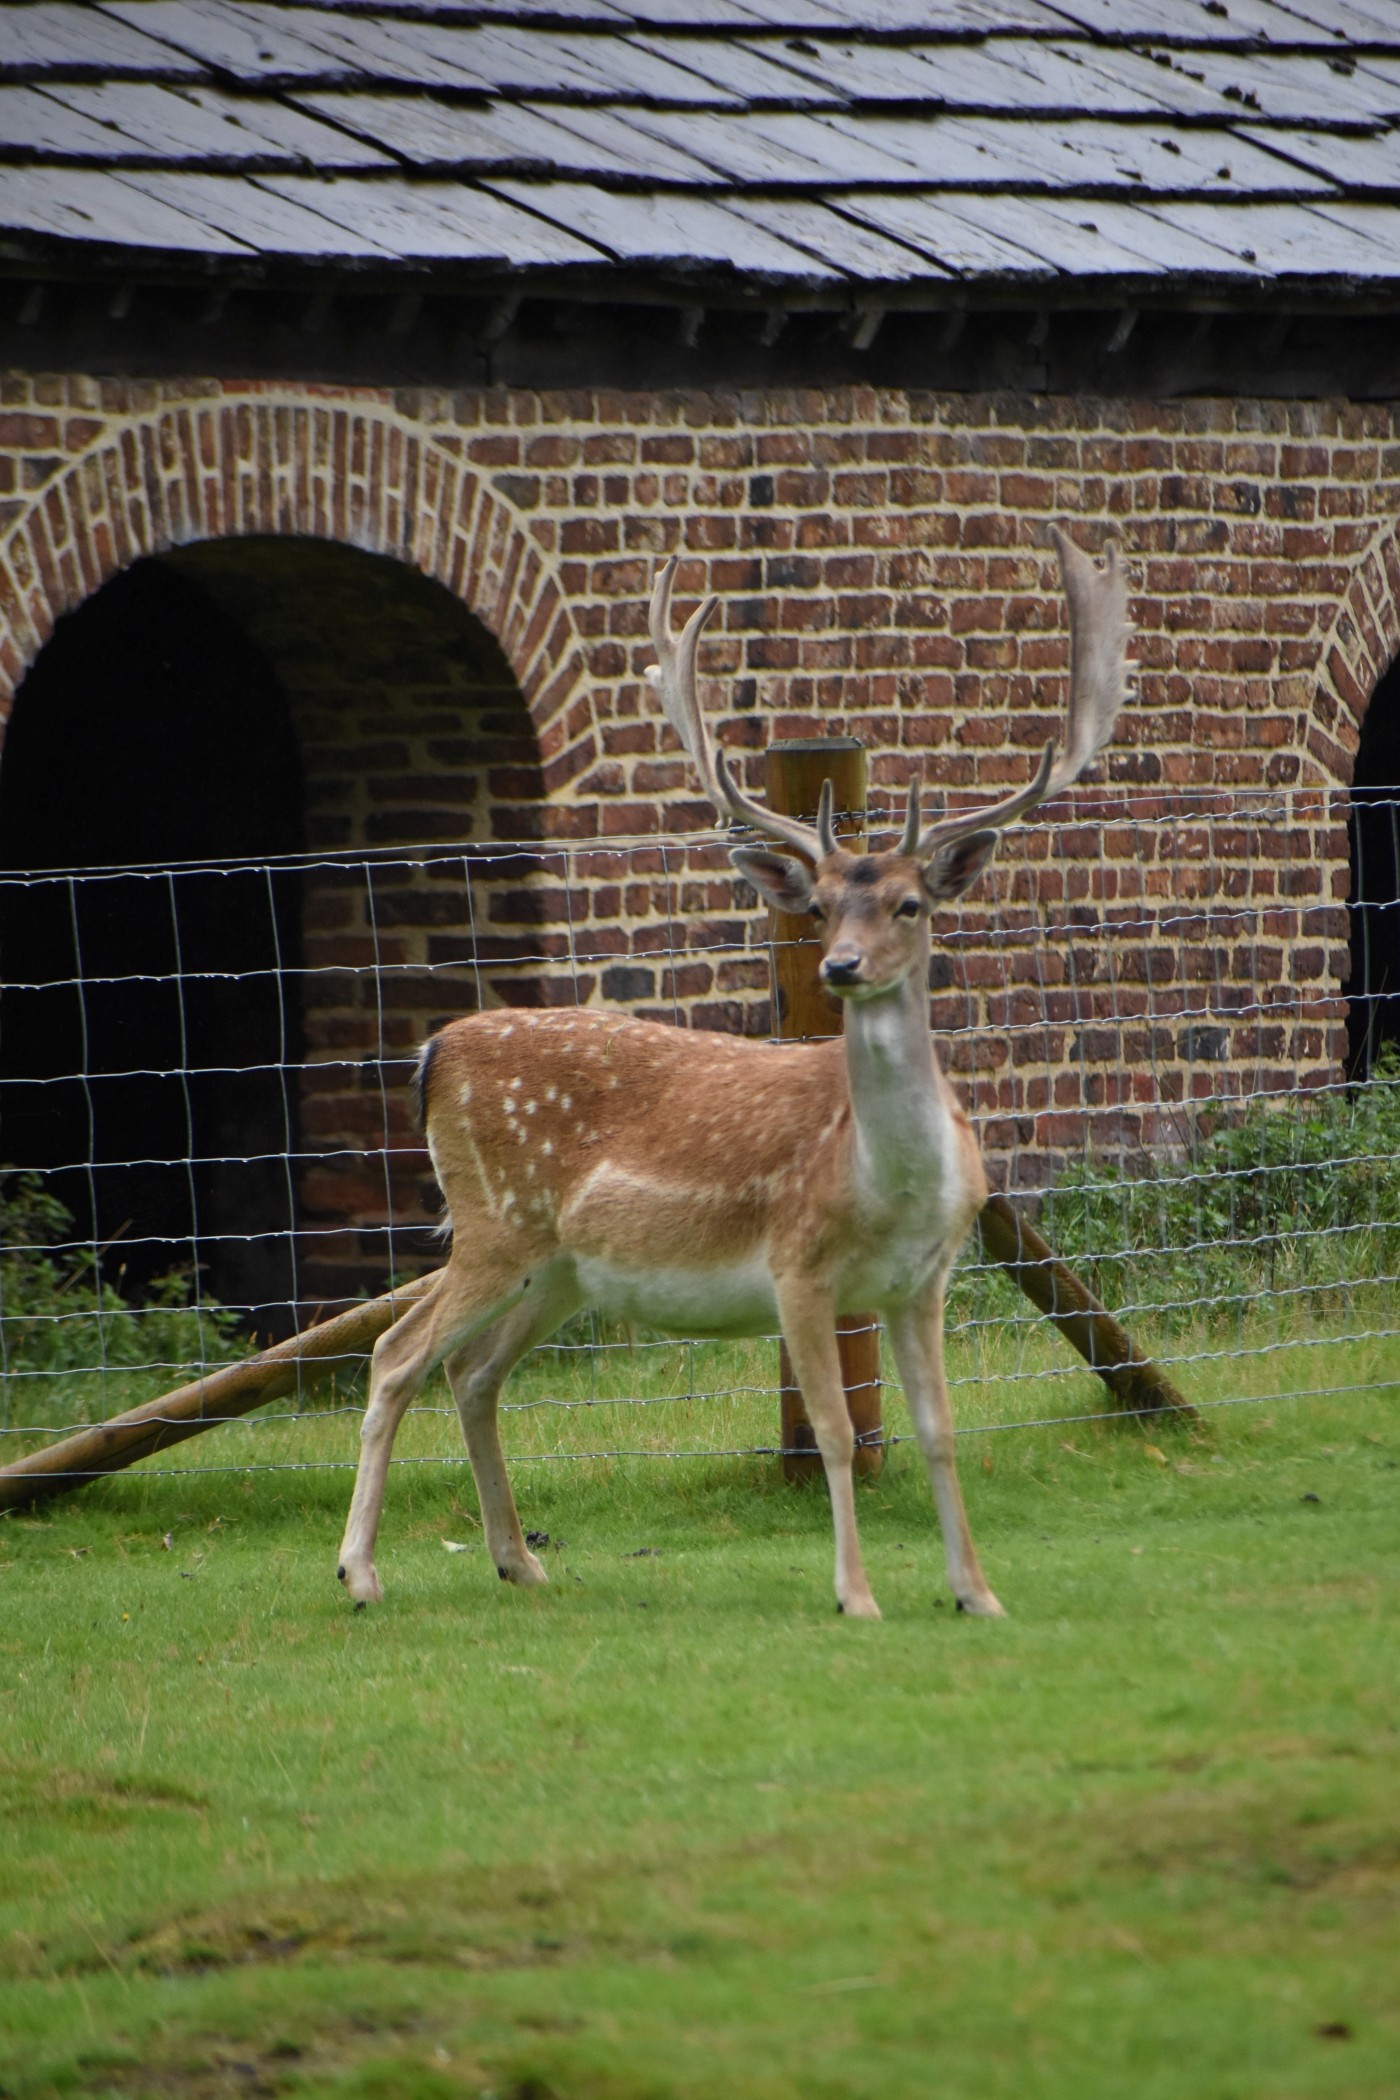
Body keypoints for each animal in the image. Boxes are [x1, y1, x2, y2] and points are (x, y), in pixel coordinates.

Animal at [336, 526, 1128, 1621]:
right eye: (821, 907)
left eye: (910, 904)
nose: (841, 967)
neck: (888, 1187)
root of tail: (433, 1052)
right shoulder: (796, 1266)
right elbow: (835, 1431)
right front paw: (856, 1595)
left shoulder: (923, 1279)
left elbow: (938, 1429)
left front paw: (976, 1592)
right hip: (494, 1220)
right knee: (396, 1354)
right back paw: (360, 1572)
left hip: (560, 1267)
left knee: (473, 1374)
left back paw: (518, 1559)